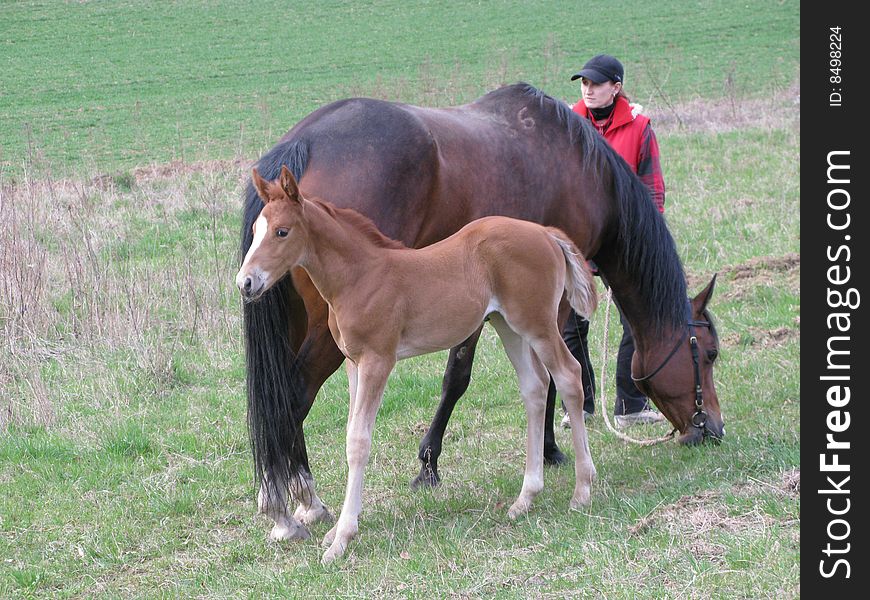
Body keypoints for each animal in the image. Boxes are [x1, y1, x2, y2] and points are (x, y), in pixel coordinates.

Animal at [238, 166, 600, 564]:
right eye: (255, 229)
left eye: (282, 231)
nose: (246, 283)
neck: (359, 276)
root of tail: (546, 233)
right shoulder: (353, 363)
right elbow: (351, 432)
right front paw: (336, 530)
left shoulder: (378, 360)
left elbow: (358, 440)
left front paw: (342, 539)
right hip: (508, 326)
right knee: (534, 388)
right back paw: (525, 498)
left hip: (537, 324)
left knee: (568, 376)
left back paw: (582, 491)